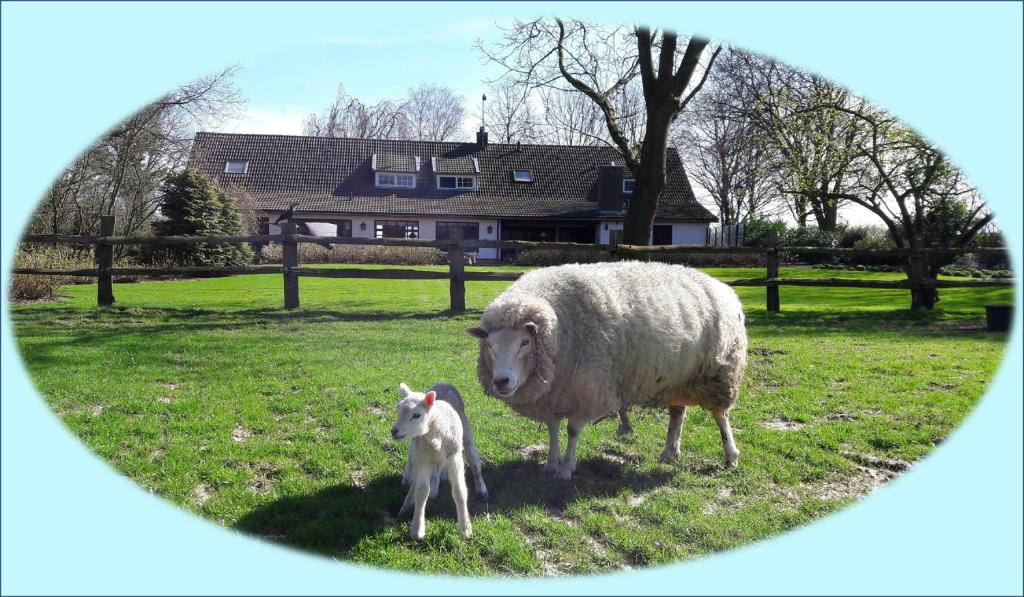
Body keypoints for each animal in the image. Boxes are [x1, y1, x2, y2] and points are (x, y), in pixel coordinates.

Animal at [389, 382, 473, 540]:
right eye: (398, 409)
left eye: (416, 415)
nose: (394, 431)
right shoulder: (423, 458)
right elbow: (421, 491)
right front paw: (417, 530)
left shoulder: (455, 457)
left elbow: (459, 491)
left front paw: (465, 528)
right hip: (417, 449)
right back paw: (405, 506)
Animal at [468, 262, 749, 481]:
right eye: (490, 345)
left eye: (524, 343)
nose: (501, 381)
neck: (560, 333)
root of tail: (724, 288)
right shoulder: (554, 394)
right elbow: (553, 429)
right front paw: (551, 463)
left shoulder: (588, 391)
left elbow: (572, 431)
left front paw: (566, 469)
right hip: (676, 378)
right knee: (677, 413)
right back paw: (670, 452)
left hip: (719, 374)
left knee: (721, 416)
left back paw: (731, 456)